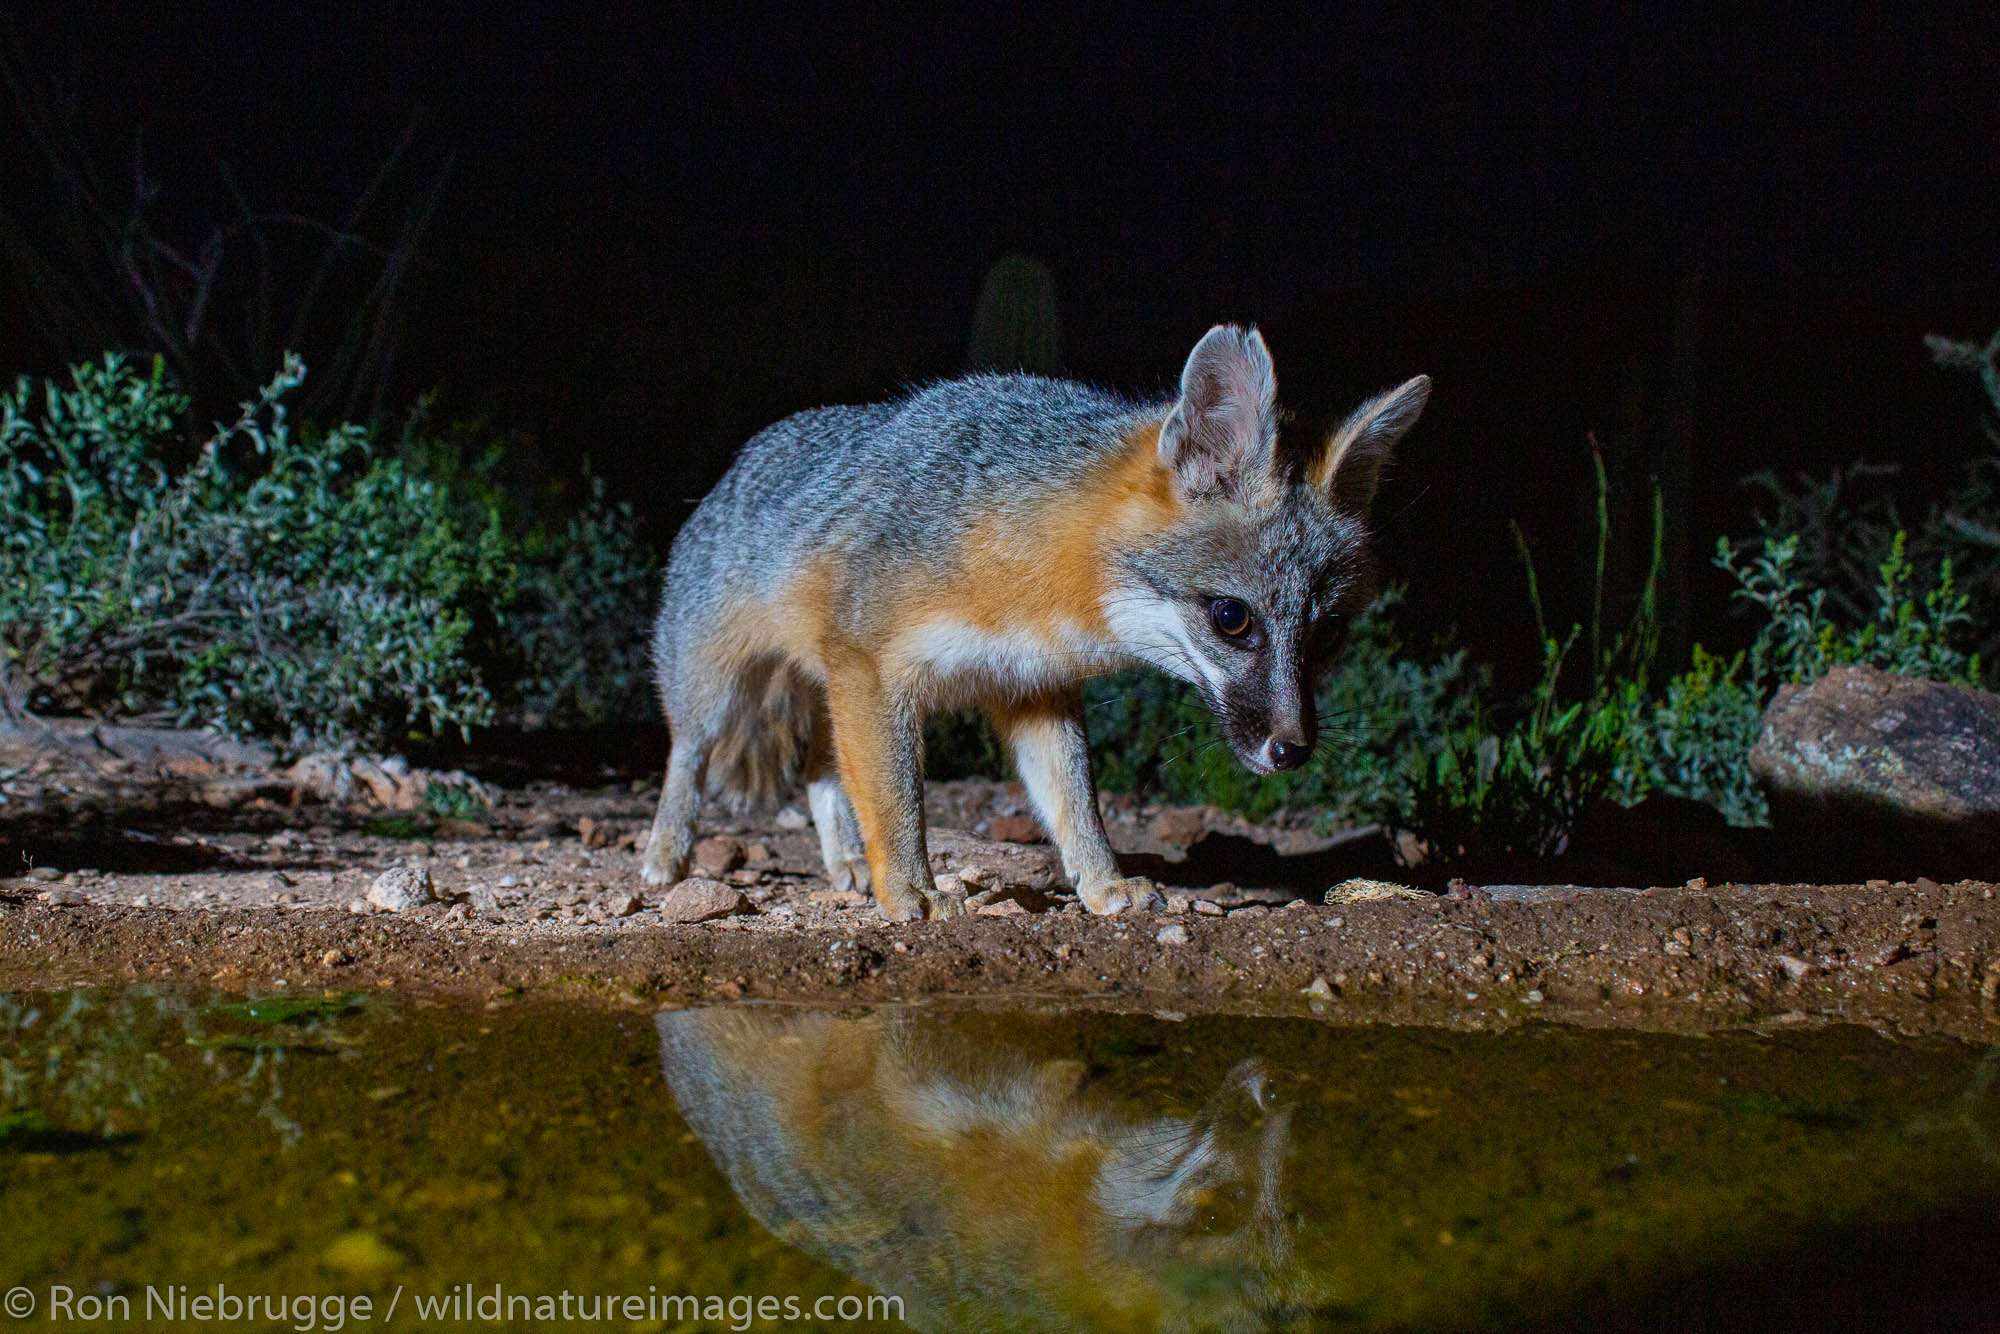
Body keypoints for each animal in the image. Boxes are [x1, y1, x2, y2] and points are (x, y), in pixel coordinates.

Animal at [640, 328, 1424, 924]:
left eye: (1328, 636)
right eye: (1233, 619)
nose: (1292, 750)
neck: (1028, 571)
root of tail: (743, 458)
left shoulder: (1034, 690)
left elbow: (1077, 805)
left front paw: (1104, 886)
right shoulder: (871, 668)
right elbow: (897, 798)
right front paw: (912, 891)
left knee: (819, 773)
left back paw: (845, 864)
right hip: (719, 695)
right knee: (689, 759)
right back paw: (665, 858)